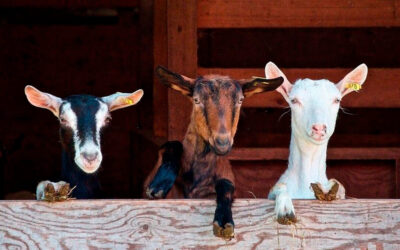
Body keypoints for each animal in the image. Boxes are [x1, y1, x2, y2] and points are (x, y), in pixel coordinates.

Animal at [145, 66, 284, 238]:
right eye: (196, 100)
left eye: (240, 100)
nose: (222, 142)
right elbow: (172, 144)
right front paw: (159, 185)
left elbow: (226, 184)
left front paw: (224, 221)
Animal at [266, 61, 368, 224]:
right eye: (294, 100)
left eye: (337, 100)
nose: (319, 128)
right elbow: (279, 187)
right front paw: (285, 209)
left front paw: (330, 189)